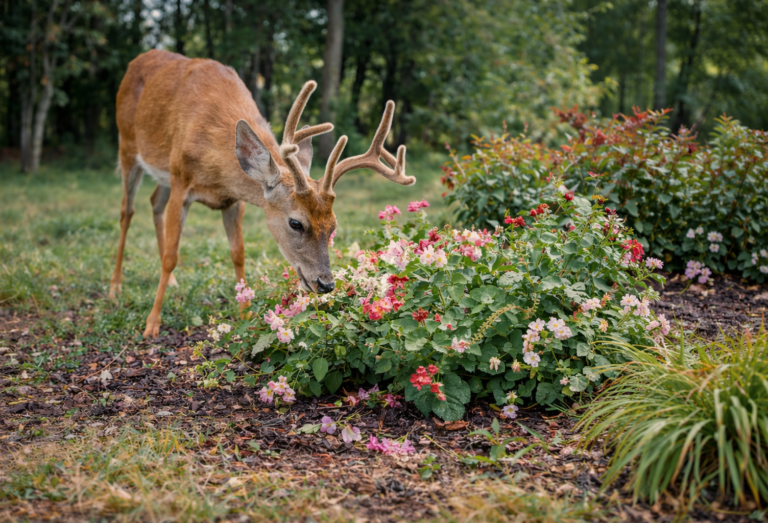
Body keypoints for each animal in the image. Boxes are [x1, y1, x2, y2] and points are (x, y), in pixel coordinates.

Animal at [110, 49, 416, 339]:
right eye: (296, 223)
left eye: (333, 226)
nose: (326, 283)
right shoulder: (181, 182)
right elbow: (172, 256)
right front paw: (152, 324)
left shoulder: (233, 201)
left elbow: (238, 253)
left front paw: (245, 315)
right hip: (128, 146)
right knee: (127, 211)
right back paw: (116, 286)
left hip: (161, 172)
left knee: (154, 203)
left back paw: (170, 282)